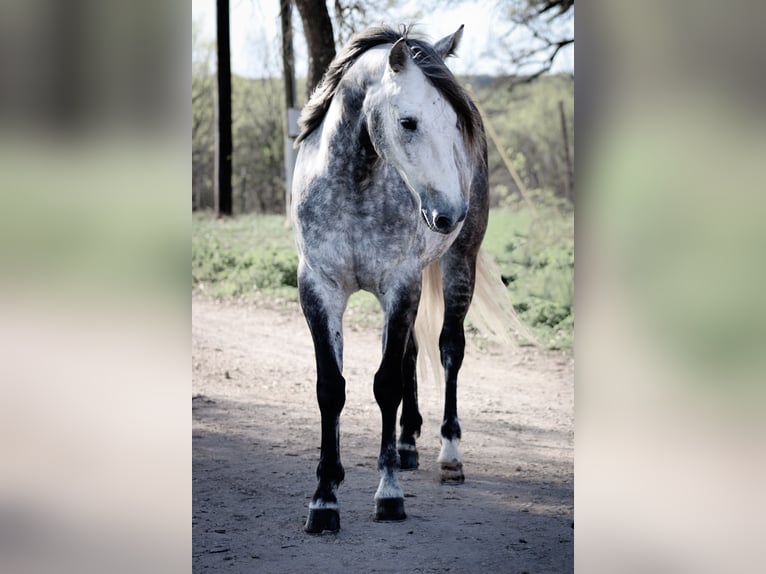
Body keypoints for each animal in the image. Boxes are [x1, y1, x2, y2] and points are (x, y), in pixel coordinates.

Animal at [292, 24, 497, 534]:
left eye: (455, 124)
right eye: (408, 122)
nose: (450, 213)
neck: (354, 186)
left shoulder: (399, 287)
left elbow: (385, 384)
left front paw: (388, 496)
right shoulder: (318, 290)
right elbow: (332, 388)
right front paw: (324, 499)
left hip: (458, 263)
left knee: (448, 350)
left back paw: (448, 455)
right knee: (412, 353)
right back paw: (406, 445)